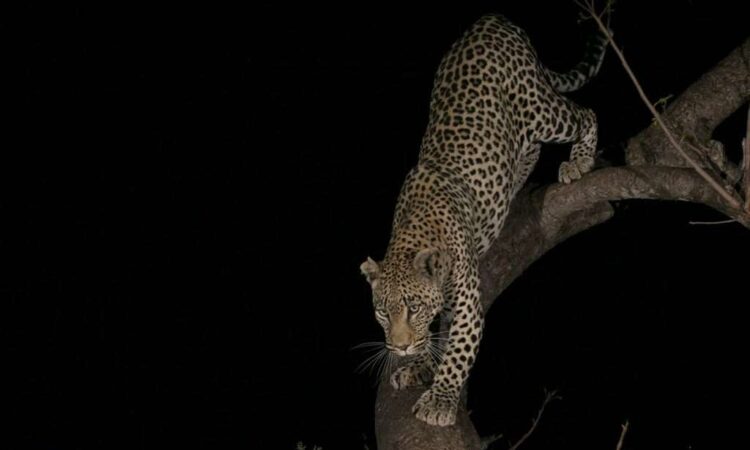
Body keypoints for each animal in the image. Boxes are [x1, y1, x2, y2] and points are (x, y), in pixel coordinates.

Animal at [360, 13, 608, 427]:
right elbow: (439, 337)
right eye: (382, 311)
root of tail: (491, 20)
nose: (400, 347)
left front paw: (439, 400)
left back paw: (579, 162)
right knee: (527, 149)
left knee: (583, 114)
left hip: (539, 107)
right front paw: (420, 366)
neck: (413, 231)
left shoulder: (465, 302)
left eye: (412, 308)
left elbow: (458, 348)